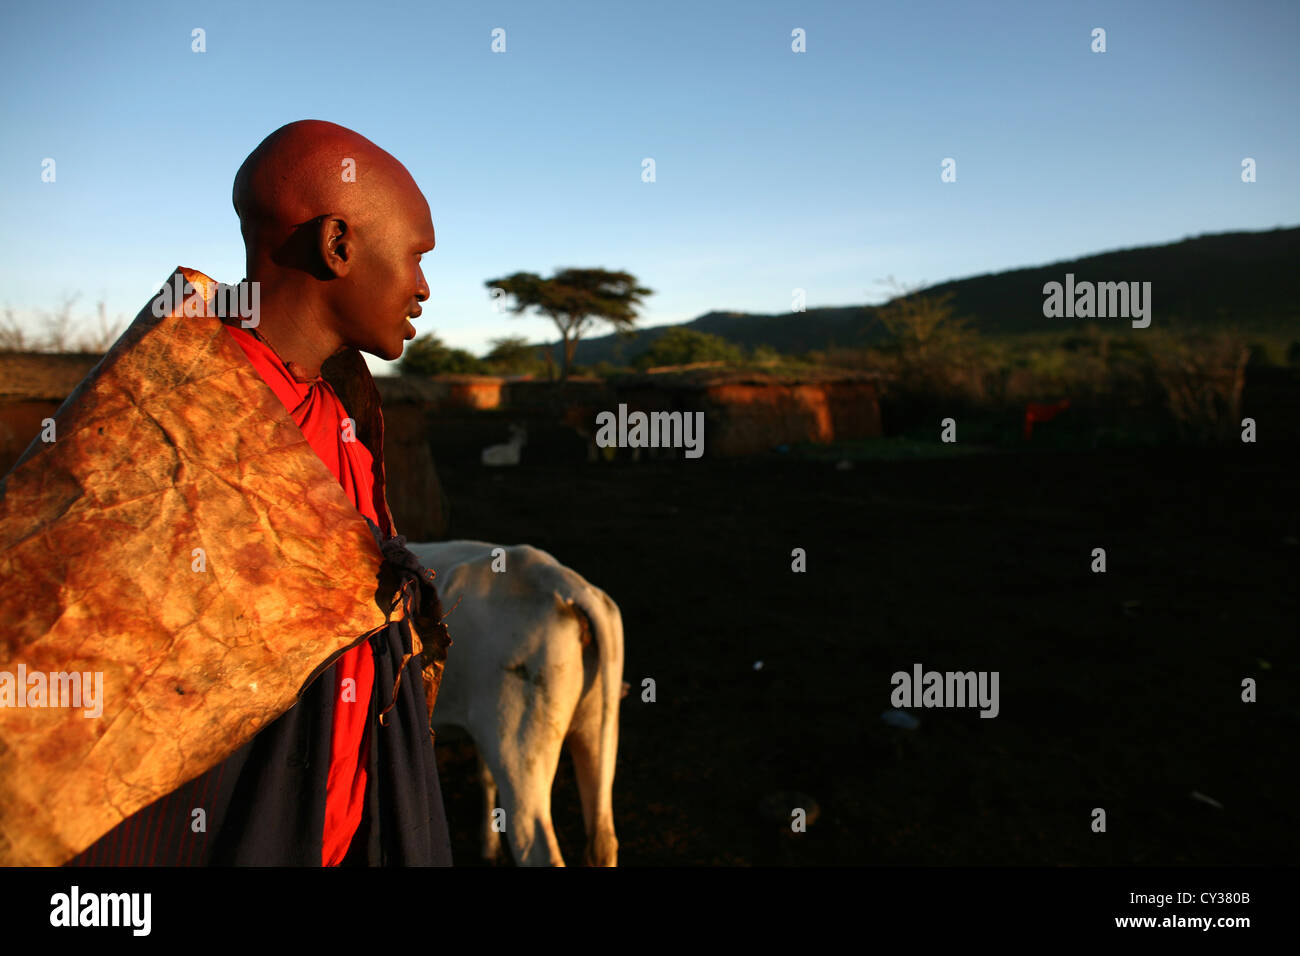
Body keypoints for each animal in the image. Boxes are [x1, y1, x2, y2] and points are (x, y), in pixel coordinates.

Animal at [408, 538, 626, 868]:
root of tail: (560, 580)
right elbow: (484, 776)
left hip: (518, 747)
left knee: (534, 845)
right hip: (596, 730)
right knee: (603, 840)